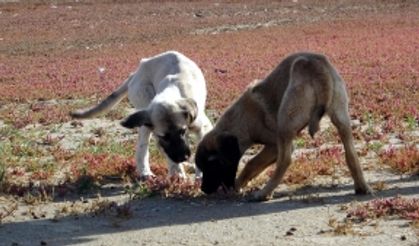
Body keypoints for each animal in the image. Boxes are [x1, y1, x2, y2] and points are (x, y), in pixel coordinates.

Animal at [71, 51, 213, 179]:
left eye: (182, 131)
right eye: (164, 136)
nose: (182, 157)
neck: (172, 90)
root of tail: (136, 72)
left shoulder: (202, 128)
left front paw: (199, 173)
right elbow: (165, 150)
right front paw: (177, 171)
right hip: (145, 115)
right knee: (144, 146)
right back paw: (147, 172)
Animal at [197, 51, 374, 200]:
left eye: (212, 165)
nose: (203, 189)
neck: (239, 121)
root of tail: (313, 65)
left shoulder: (273, 145)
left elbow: (251, 163)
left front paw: (238, 185)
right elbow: (256, 164)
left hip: (285, 123)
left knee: (285, 161)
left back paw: (264, 193)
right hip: (342, 117)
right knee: (350, 153)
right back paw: (362, 187)